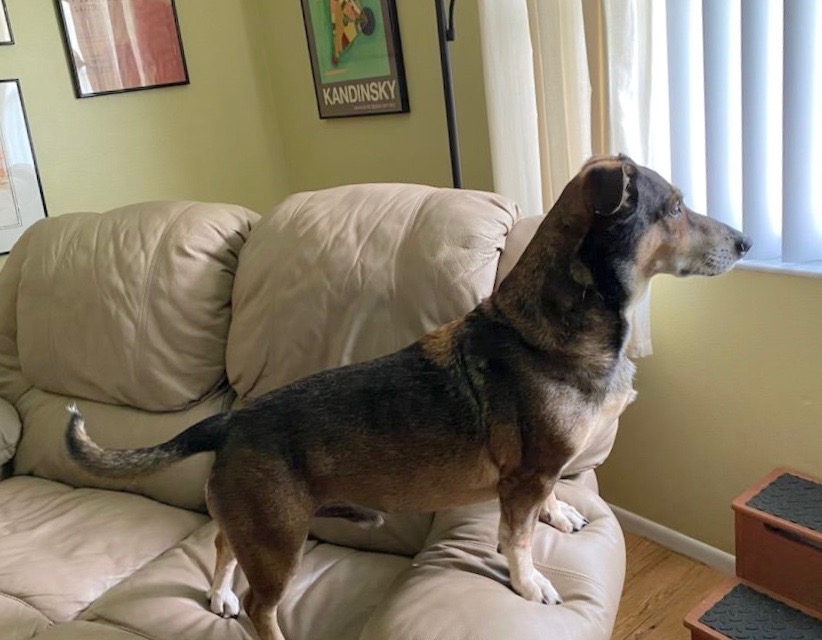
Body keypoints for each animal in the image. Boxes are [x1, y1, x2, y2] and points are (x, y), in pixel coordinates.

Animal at [64, 156, 748, 640]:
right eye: (675, 208)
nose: (745, 244)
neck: (561, 321)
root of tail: (229, 422)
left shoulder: (542, 472)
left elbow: (546, 504)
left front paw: (558, 514)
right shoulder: (525, 477)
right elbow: (518, 538)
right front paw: (530, 583)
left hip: (251, 523)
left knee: (222, 544)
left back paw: (218, 594)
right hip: (280, 538)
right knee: (263, 607)